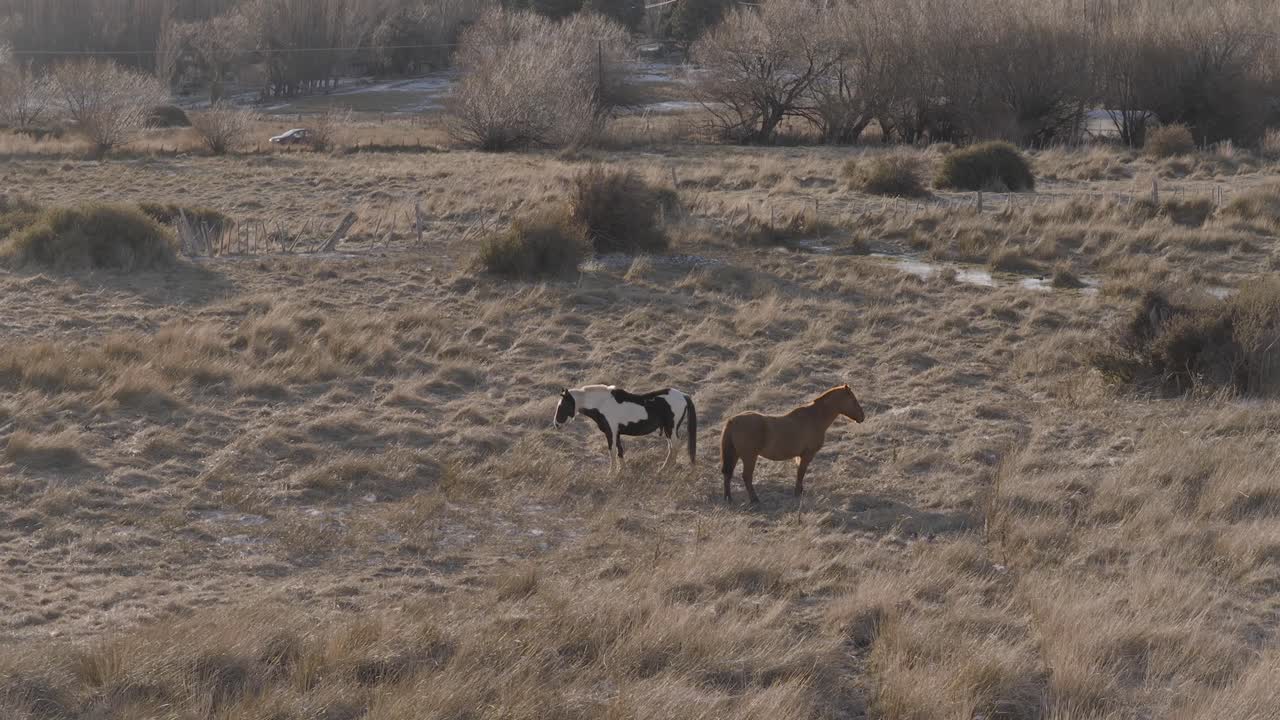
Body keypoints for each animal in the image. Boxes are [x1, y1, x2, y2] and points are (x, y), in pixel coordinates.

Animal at [553, 385, 697, 471]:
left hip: (671, 429)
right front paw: (622, 470)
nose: (556, 424)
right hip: (668, 430)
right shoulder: (616, 433)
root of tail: (683, 395)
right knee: (672, 447)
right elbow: (620, 451)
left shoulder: (610, 432)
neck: (602, 404)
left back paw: (666, 468)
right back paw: (666, 468)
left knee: (675, 445)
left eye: (562, 406)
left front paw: (611, 473)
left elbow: (612, 451)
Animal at [720, 384, 865, 504]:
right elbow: (801, 473)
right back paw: (754, 499)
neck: (813, 418)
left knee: (728, 474)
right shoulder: (807, 454)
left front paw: (800, 491)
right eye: (853, 400)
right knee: (746, 476)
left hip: (735, 454)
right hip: (749, 457)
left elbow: (800, 472)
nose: (862, 417)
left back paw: (728, 498)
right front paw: (797, 493)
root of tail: (733, 420)